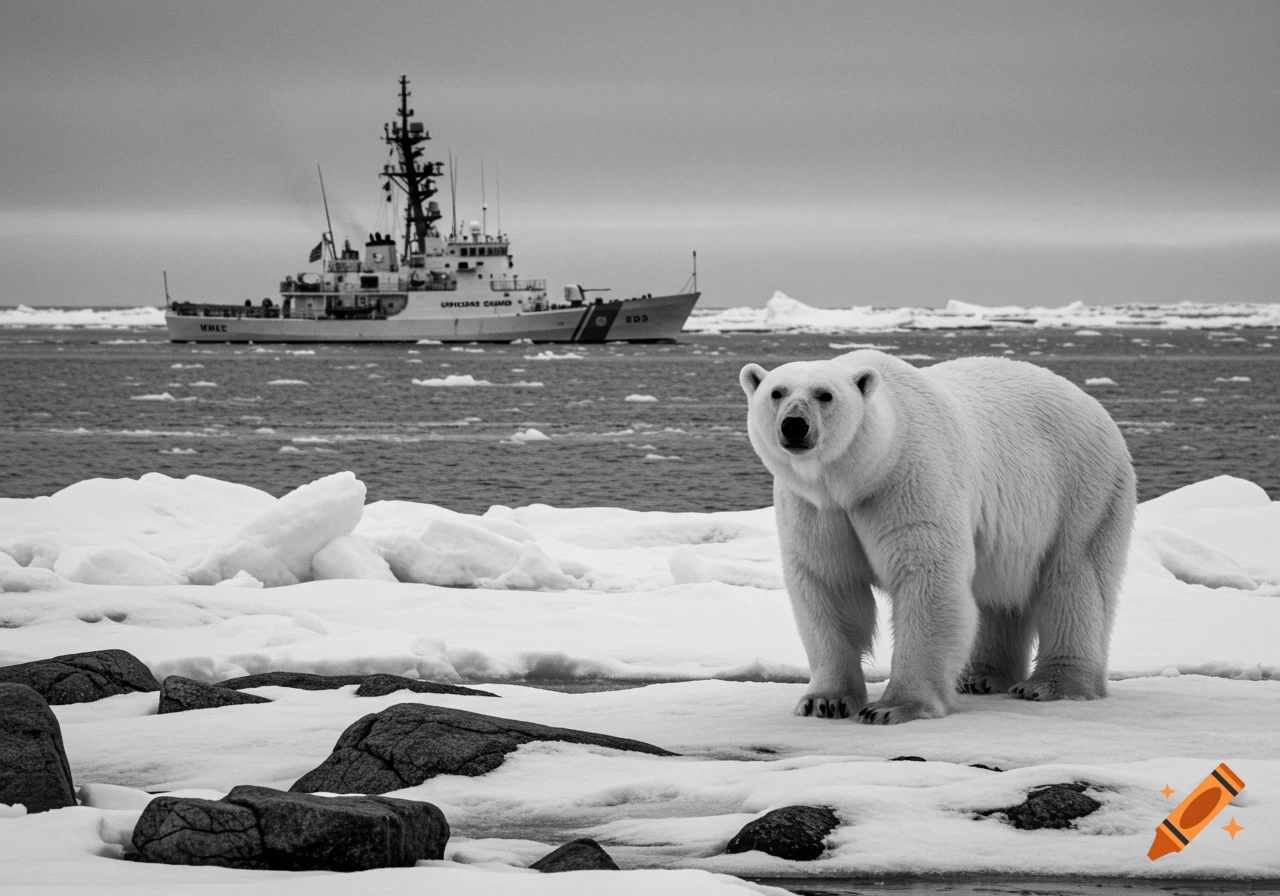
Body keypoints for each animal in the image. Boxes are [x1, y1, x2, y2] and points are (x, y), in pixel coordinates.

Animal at [740, 350, 1135, 724]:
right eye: (777, 392)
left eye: (825, 395)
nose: (794, 425)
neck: (859, 476)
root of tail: (1093, 404)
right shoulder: (817, 510)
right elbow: (830, 584)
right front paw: (824, 701)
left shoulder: (908, 479)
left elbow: (927, 578)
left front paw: (893, 707)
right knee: (998, 595)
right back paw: (980, 677)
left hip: (1081, 490)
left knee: (1074, 578)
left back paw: (1050, 684)